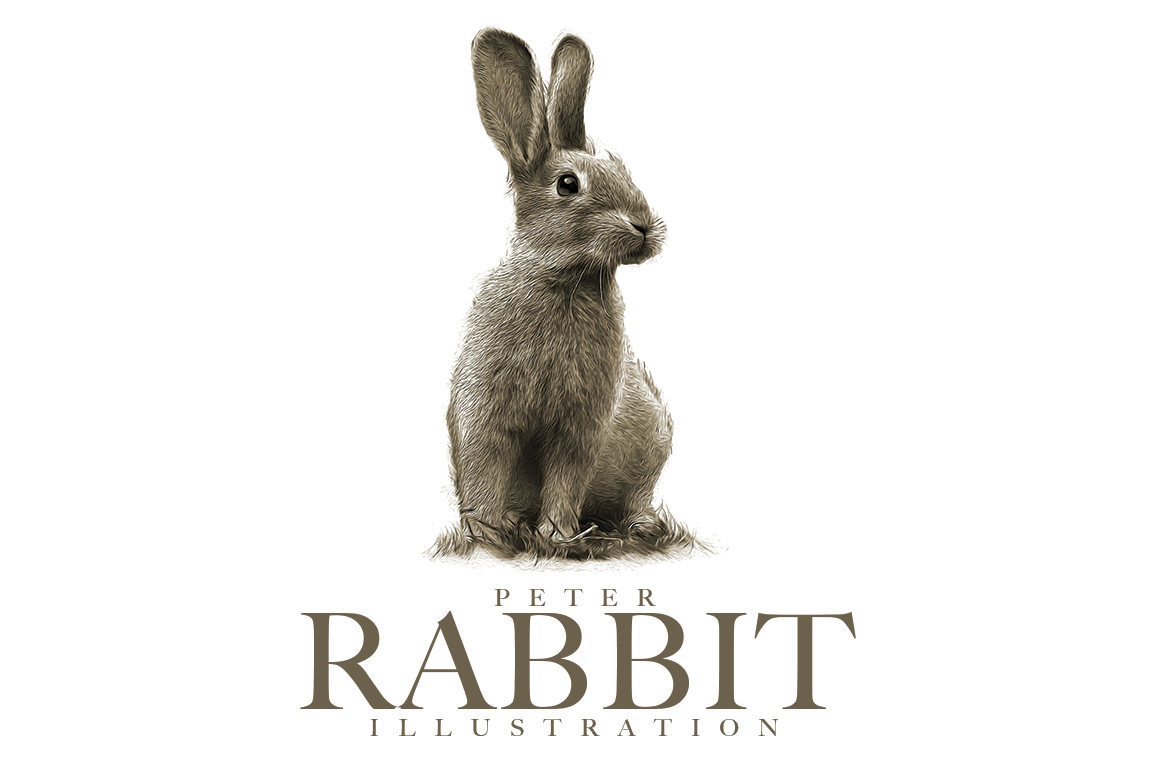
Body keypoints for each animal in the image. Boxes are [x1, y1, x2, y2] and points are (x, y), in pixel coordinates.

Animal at [446, 29, 672, 553]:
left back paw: (639, 527)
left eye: (622, 169)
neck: (565, 279)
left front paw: (555, 534)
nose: (644, 226)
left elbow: (567, 476)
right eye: (567, 184)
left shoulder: (581, 425)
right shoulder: (484, 412)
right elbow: (485, 467)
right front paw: (486, 533)